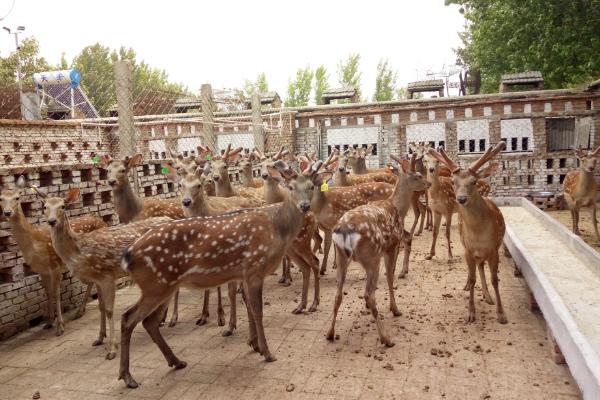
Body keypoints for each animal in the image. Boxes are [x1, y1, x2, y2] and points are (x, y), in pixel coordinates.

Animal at [0, 177, 106, 336]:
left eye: (17, 198)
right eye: (0, 198)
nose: (7, 212)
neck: (35, 244)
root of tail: (103, 221)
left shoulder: (55, 266)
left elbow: (56, 294)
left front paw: (60, 327)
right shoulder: (42, 270)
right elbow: (48, 293)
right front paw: (48, 323)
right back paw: (80, 311)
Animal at [37, 188, 171, 360]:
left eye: (63, 206)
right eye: (45, 206)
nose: (52, 221)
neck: (80, 250)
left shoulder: (107, 276)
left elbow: (109, 310)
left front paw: (112, 349)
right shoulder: (97, 279)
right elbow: (101, 307)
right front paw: (99, 338)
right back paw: (163, 319)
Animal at [116, 159, 314, 388]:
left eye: (311, 186)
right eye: (291, 187)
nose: (305, 206)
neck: (276, 228)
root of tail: (128, 255)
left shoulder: (243, 273)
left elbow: (248, 306)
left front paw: (253, 344)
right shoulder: (254, 268)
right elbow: (257, 310)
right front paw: (266, 352)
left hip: (163, 286)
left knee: (149, 321)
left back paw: (176, 361)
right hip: (156, 284)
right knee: (128, 318)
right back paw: (128, 377)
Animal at [328, 152, 432, 346]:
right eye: (418, 175)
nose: (429, 183)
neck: (396, 207)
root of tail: (344, 229)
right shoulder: (391, 245)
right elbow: (390, 277)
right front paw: (395, 309)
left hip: (342, 257)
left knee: (338, 295)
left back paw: (330, 333)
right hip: (371, 256)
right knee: (369, 294)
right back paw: (385, 338)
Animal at [428, 142, 508, 324]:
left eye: (474, 181)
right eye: (453, 181)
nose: (461, 199)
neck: (479, 234)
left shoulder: (494, 249)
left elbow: (495, 280)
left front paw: (501, 314)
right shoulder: (469, 250)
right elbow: (472, 279)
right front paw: (471, 312)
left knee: (481, 267)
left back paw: (488, 296)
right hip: (467, 247)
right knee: (476, 269)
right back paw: (471, 287)